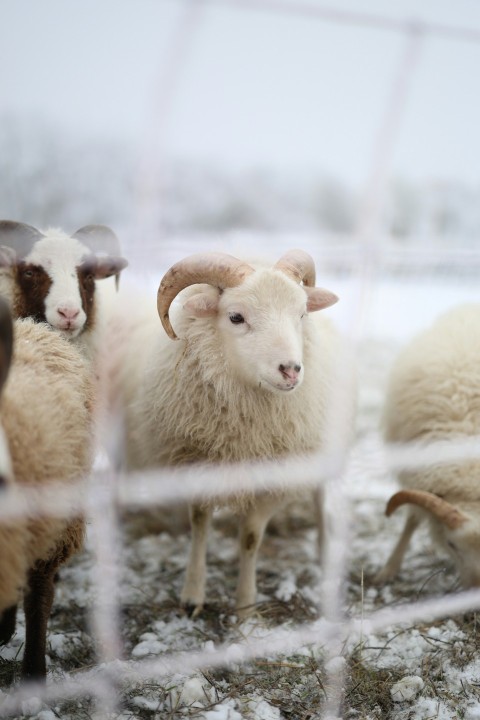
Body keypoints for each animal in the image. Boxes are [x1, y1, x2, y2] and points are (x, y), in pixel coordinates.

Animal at [107, 250, 350, 616]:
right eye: (236, 317)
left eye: (302, 313)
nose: (291, 370)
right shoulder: (196, 463)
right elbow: (199, 525)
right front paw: (192, 594)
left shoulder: (271, 479)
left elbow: (250, 538)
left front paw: (245, 605)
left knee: (320, 498)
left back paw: (324, 551)